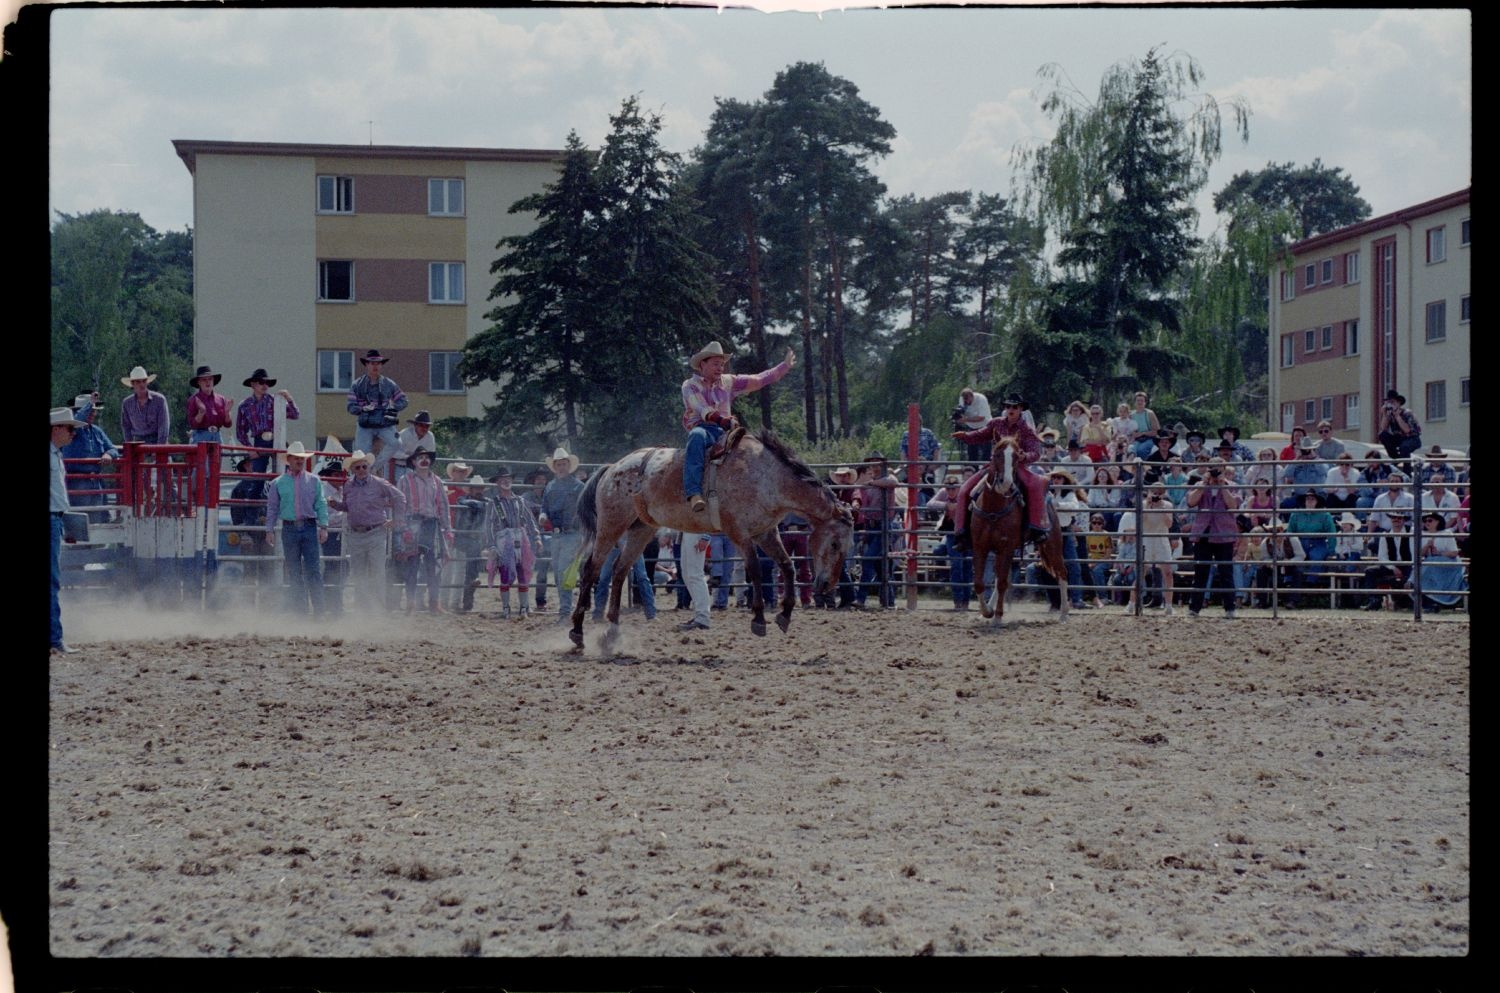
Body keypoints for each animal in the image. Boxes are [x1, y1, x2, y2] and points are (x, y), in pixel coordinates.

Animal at [567, 429, 858, 651]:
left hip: (642, 529)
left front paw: (785, 615)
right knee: (591, 569)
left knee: (619, 571)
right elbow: (754, 570)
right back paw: (577, 632)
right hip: (611, 525)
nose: (827, 585)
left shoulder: (766, 532)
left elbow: (787, 566)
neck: (767, 476)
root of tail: (612, 468)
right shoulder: (739, 533)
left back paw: (612, 632)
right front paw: (759, 620)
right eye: (834, 544)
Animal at [972, 441, 1068, 627]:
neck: (994, 508)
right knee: (999, 580)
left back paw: (1064, 614)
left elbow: (1002, 583)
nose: (1006, 483)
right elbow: (980, 583)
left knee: (1062, 573)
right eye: (996, 455)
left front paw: (997, 616)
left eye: (1017, 457)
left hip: (1052, 546)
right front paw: (987, 612)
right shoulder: (981, 547)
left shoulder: (1006, 548)